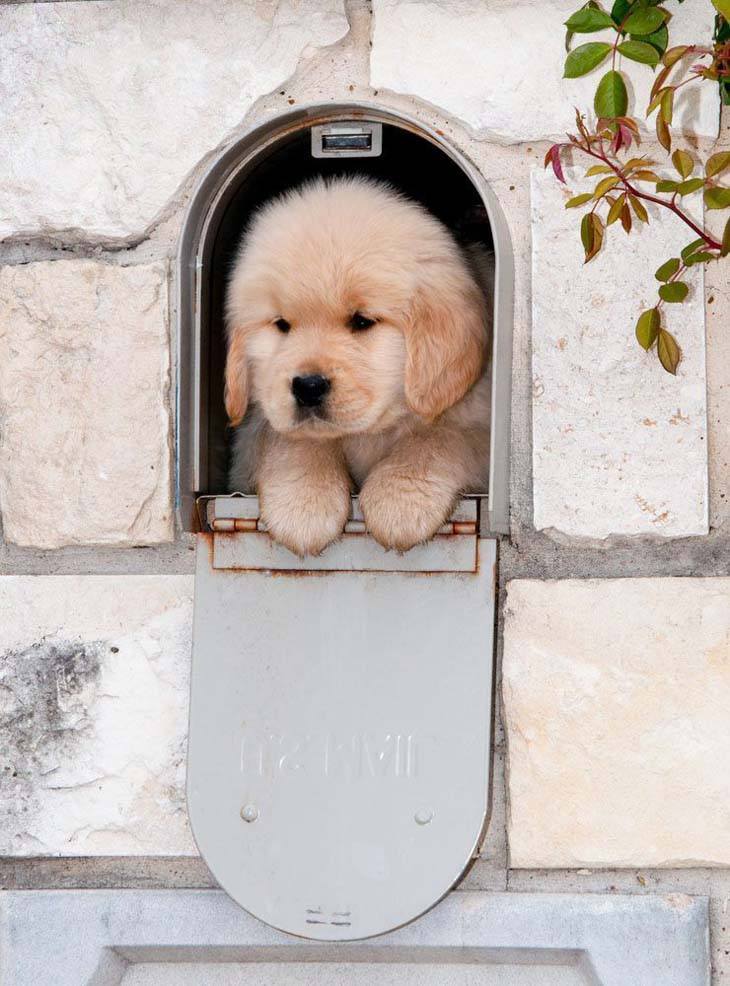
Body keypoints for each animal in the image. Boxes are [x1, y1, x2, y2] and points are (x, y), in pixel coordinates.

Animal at [225, 178, 492, 556]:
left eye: (362, 321)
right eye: (281, 325)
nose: (308, 386)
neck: (371, 433)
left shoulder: (478, 423)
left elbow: (439, 437)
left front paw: (400, 500)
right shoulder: (258, 427)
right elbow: (292, 439)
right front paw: (303, 505)